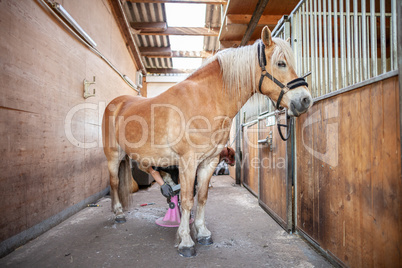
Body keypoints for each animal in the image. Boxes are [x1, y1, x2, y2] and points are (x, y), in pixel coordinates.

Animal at [102, 26, 312, 256]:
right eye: (281, 63)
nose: (305, 100)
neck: (205, 100)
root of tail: (117, 102)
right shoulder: (187, 162)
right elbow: (186, 199)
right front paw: (186, 241)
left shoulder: (209, 162)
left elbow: (201, 197)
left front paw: (202, 233)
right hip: (113, 156)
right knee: (114, 182)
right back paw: (119, 214)